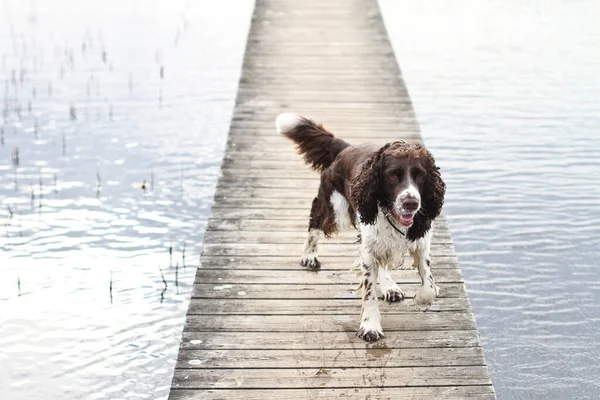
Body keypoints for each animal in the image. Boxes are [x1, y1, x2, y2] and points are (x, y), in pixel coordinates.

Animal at [276, 113, 446, 344]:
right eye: (393, 175)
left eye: (420, 175)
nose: (411, 203)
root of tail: (345, 148)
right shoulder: (368, 244)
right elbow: (369, 291)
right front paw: (370, 326)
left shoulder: (420, 241)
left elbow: (429, 284)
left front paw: (421, 299)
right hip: (336, 209)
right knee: (315, 219)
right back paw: (309, 255)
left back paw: (390, 286)